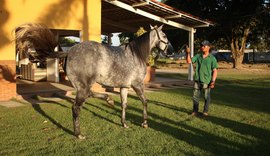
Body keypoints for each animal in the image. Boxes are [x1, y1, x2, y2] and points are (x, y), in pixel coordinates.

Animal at [15, 23, 171, 139]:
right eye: (164, 35)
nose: (171, 51)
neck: (136, 55)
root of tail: (69, 52)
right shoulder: (137, 85)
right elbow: (145, 101)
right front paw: (145, 123)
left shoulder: (124, 87)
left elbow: (124, 105)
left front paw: (124, 123)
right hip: (84, 87)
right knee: (76, 107)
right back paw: (79, 134)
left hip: (83, 86)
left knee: (89, 95)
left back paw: (109, 100)